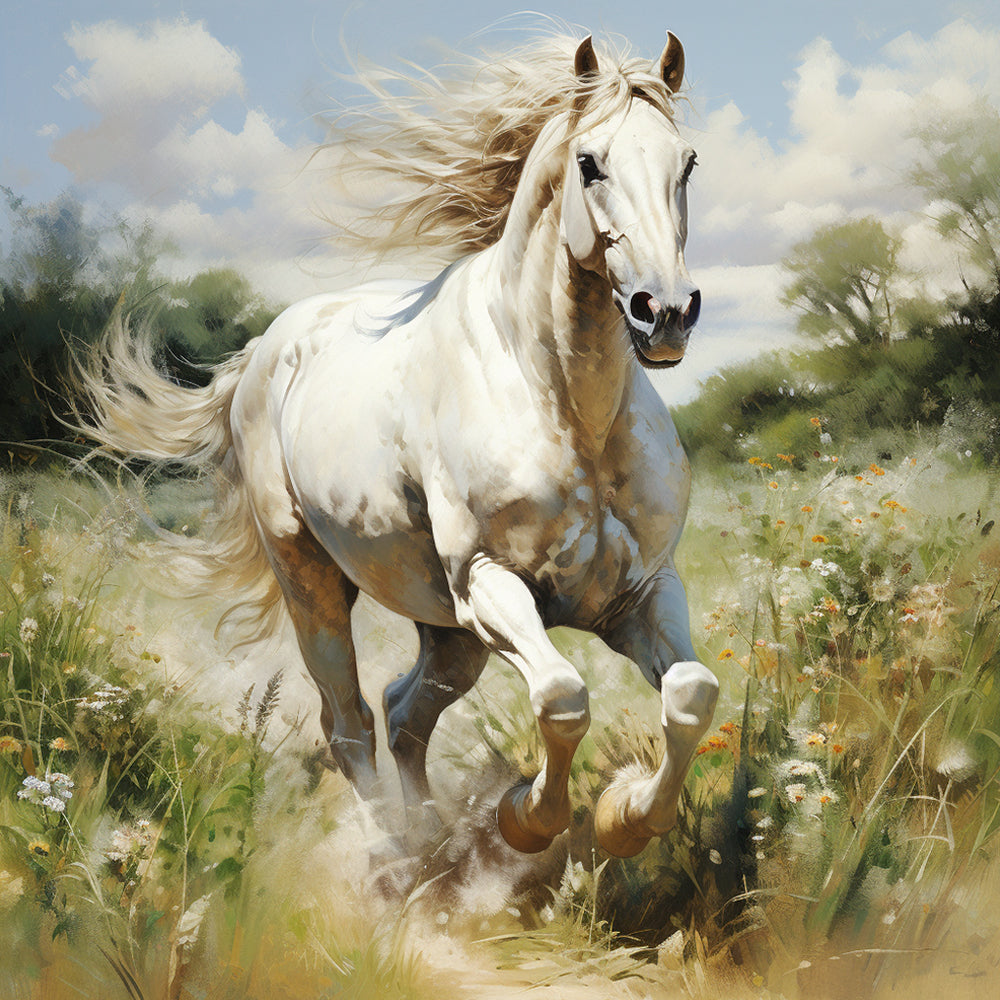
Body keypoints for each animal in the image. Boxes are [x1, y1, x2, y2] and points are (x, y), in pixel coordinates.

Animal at [74, 31, 719, 858]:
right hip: (316, 584)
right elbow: (562, 697)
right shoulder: (490, 584)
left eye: (687, 163)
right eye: (590, 163)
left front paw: (626, 818)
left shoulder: (640, 592)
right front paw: (529, 818)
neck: (571, 412)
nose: (664, 312)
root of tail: (266, 351)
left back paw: (433, 838)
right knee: (349, 722)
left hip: (446, 631)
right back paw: (396, 856)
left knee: (403, 711)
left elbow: (692, 694)